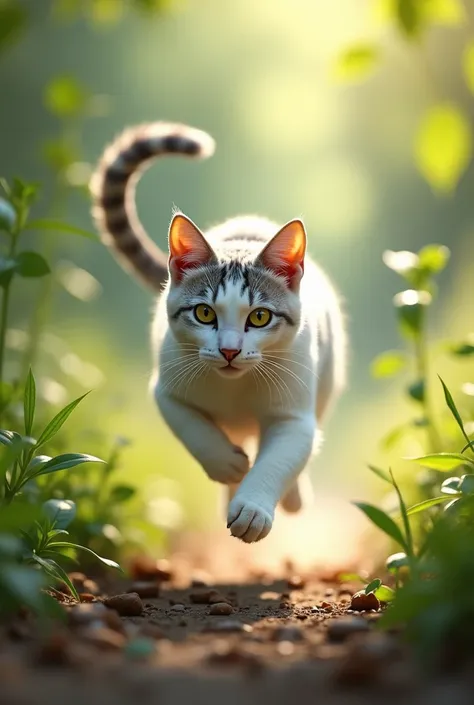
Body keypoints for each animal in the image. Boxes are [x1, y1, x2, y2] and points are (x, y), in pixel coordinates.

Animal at [90, 121, 346, 540]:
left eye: (259, 318)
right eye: (204, 313)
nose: (229, 350)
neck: (235, 390)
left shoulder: (294, 414)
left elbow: (280, 457)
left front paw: (253, 507)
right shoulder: (167, 387)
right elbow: (190, 426)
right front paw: (226, 464)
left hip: (326, 380)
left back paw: (291, 497)